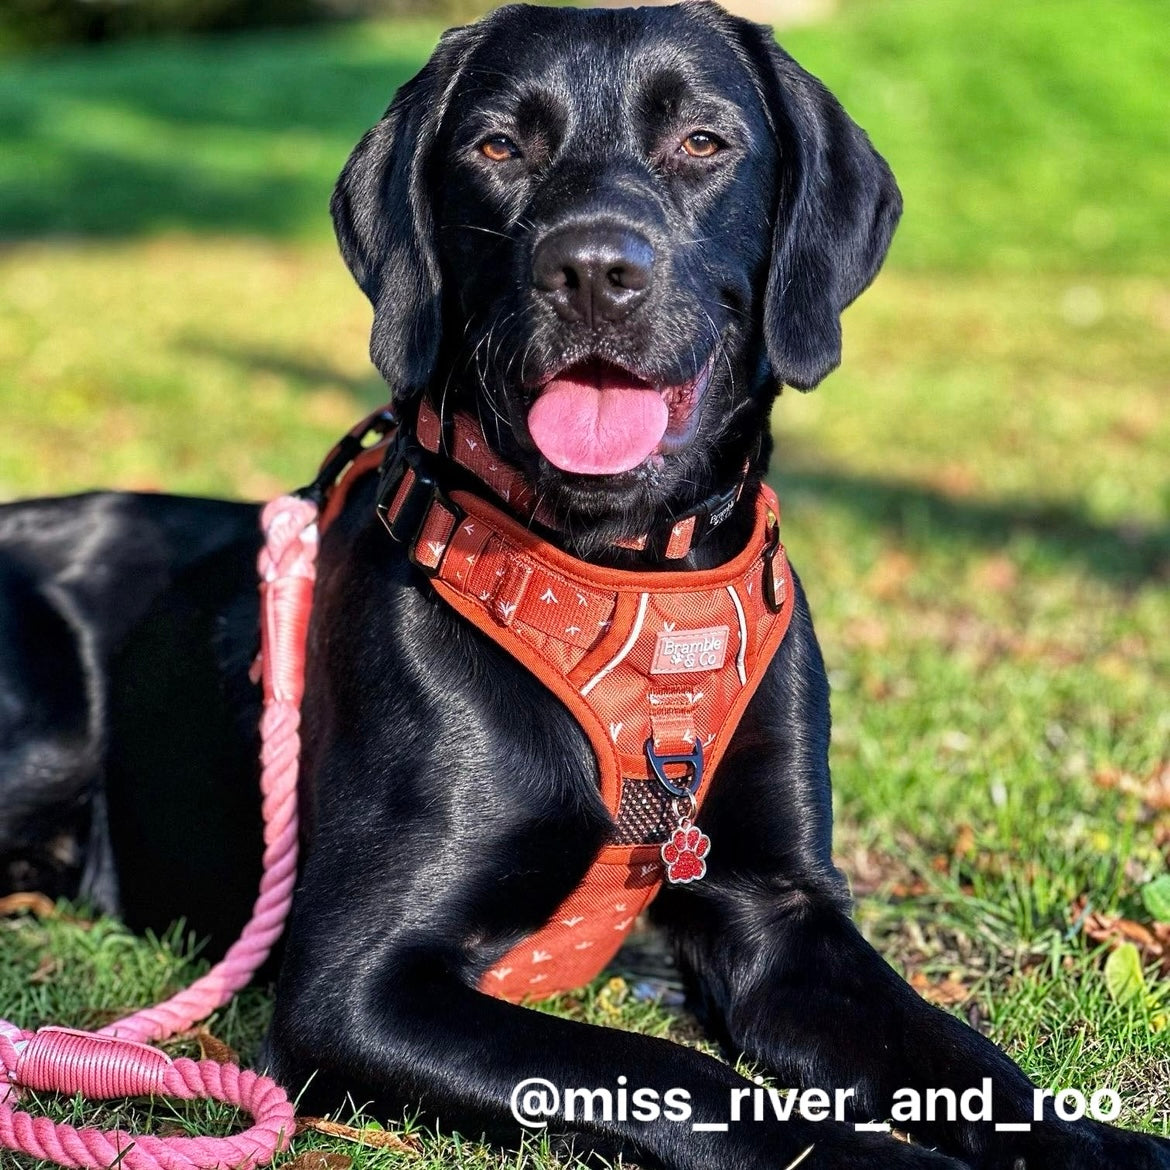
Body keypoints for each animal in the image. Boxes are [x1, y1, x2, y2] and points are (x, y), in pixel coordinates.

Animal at [2, 2, 1170, 1170]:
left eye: (701, 142)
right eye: (496, 148)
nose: (594, 270)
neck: (625, 572)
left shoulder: (784, 913)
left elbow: (954, 1047)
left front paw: (1096, 1144)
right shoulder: (355, 987)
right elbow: (677, 1075)